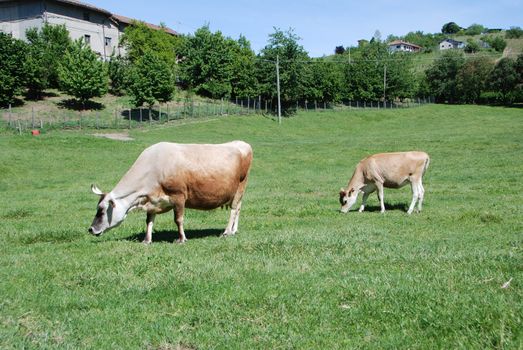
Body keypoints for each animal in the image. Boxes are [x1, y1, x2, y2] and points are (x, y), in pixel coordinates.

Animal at [89, 142, 253, 243]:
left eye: (102, 210)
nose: (90, 229)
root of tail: (242, 143)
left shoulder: (179, 196)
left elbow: (178, 219)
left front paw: (181, 239)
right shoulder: (152, 199)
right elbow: (149, 220)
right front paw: (147, 240)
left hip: (240, 185)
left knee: (234, 209)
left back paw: (227, 231)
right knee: (238, 208)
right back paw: (234, 230)